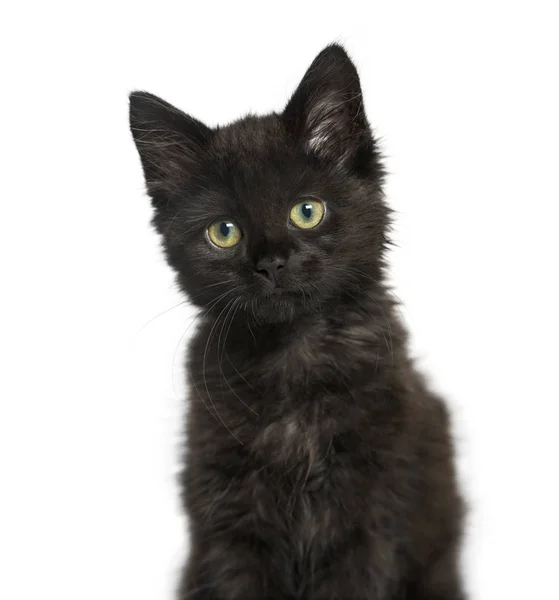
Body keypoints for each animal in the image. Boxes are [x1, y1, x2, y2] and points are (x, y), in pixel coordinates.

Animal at [129, 43, 466, 600]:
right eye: (224, 232)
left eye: (306, 212)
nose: (271, 263)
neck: (292, 358)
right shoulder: (229, 522)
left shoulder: (368, 518)